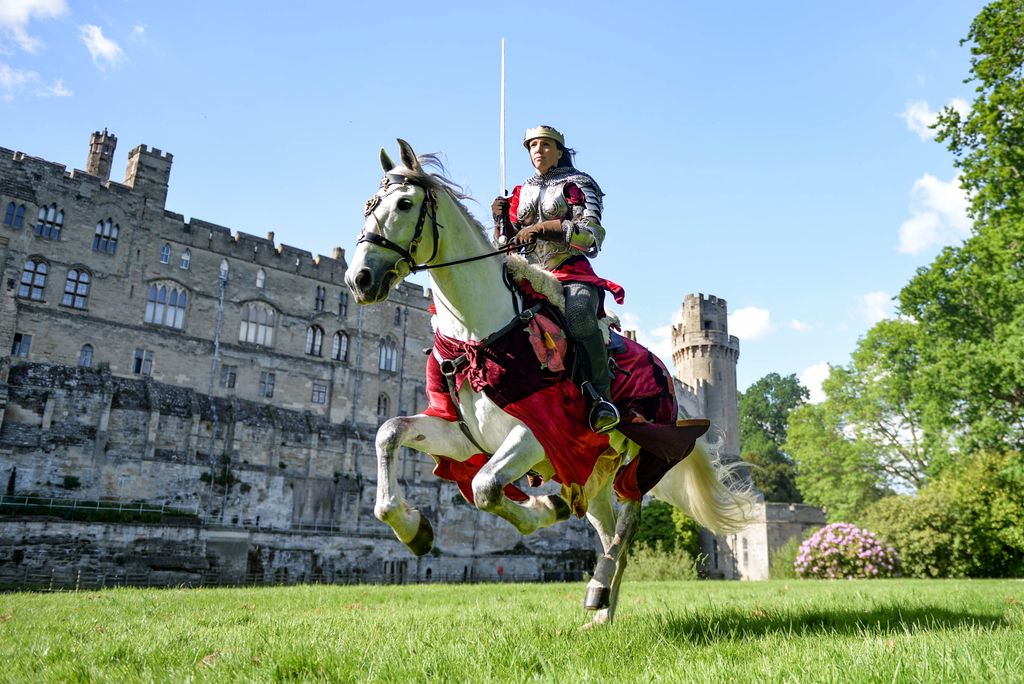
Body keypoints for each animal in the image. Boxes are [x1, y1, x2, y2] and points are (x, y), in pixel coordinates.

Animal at [344, 139, 753, 626]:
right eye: (368, 205)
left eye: (405, 204)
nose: (359, 279)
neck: (480, 336)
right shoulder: (461, 436)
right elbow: (389, 434)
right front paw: (413, 527)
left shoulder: (538, 434)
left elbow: (485, 487)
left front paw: (543, 508)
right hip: (596, 471)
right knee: (608, 533)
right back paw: (601, 611)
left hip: (641, 458)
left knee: (626, 527)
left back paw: (598, 589)